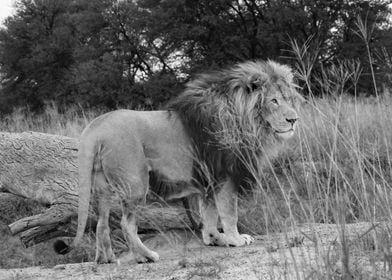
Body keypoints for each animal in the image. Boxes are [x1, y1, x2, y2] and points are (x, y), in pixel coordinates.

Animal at [54, 60, 304, 264]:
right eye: (274, 101)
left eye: (289, 100)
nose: (294, 119)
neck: (245, 119)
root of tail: (96, 127)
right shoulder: (225, 176)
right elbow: (229, 212)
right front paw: (236, 239)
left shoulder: (209, 178)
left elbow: (209, 213)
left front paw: (215, 239)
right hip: (135, 183)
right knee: (126, 224)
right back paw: (146, 256)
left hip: (102, 186)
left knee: (101, 223)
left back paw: (105, 259)